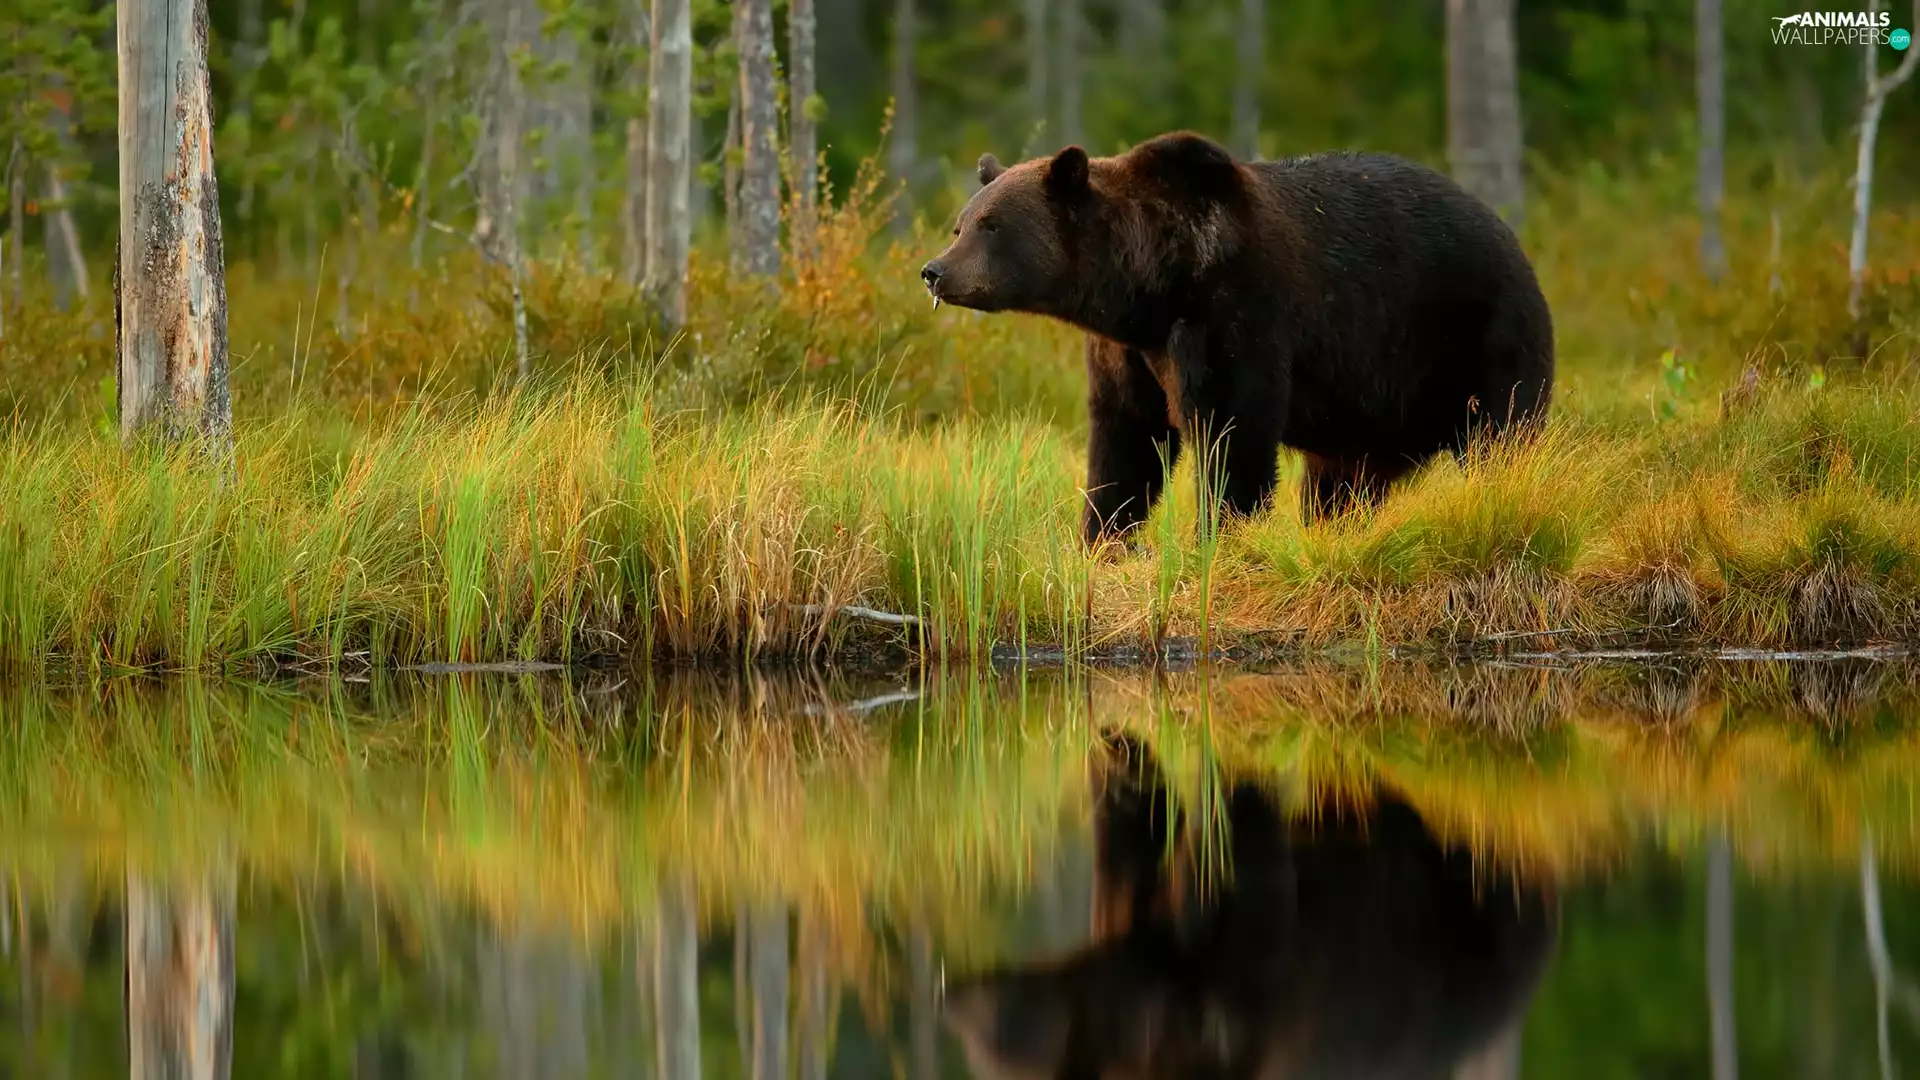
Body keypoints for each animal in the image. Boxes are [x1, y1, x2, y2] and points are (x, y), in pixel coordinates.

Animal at [919, 131, 1556, 545]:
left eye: (992, 225)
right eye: (960, 224)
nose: (935, 270)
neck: (1152, 286)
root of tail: (1516, 240)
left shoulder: (1236, 314)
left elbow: (1233, 432)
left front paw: (1220, 537)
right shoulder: (1128, 353)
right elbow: (1125, 442)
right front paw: (1103, 538)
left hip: (1477, 336)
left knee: (1503, 434)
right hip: (1370, 413)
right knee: (1340, 482)